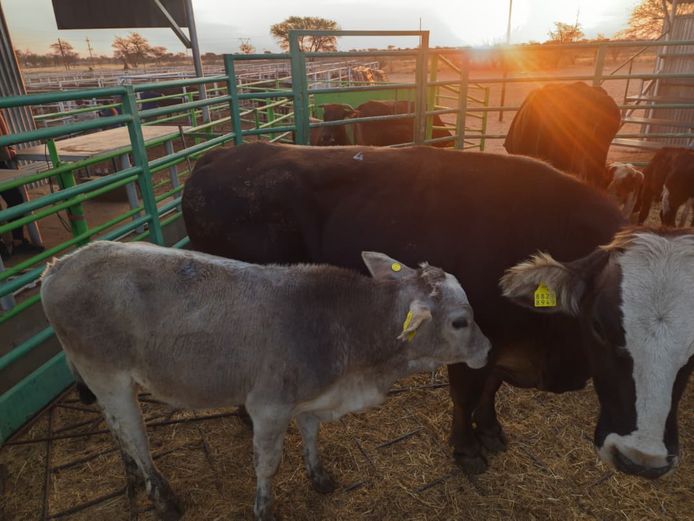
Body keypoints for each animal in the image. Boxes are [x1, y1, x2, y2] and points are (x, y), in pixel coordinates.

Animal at [40, 241, 490, 521]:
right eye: (459, 321)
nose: (488, 349)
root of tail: (58, 266)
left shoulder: (310, 398)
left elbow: (310, 434)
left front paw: (319, 477)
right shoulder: (268, 407)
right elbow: (267, 463)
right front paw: (264, 508)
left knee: (114, 425)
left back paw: (133, 474)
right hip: (107, 375)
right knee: (134, 435)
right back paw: (162, 496)